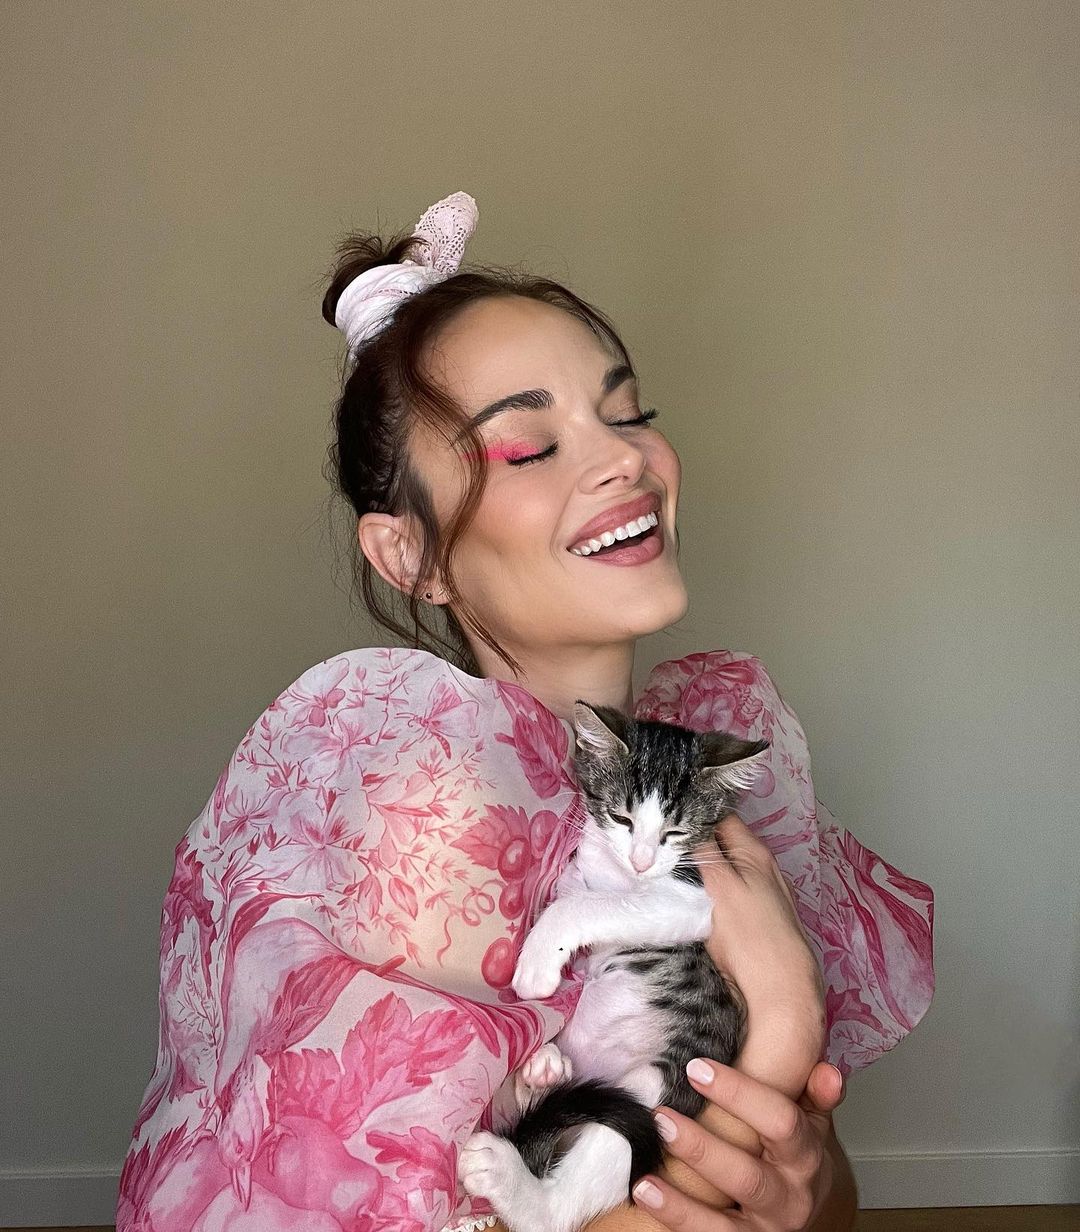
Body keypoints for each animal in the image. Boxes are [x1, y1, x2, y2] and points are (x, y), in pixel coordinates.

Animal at [458, 702, 770, 1232]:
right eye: (621, 817)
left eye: (675, 833)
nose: (642, 861)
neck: (620, 874)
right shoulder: (583, 866)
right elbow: (572, 891)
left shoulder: (694, 899)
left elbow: (591, 905)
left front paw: (538, 961)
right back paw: (542, 1072)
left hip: (662, 1087)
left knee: (562, 1204)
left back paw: (512, 1179)